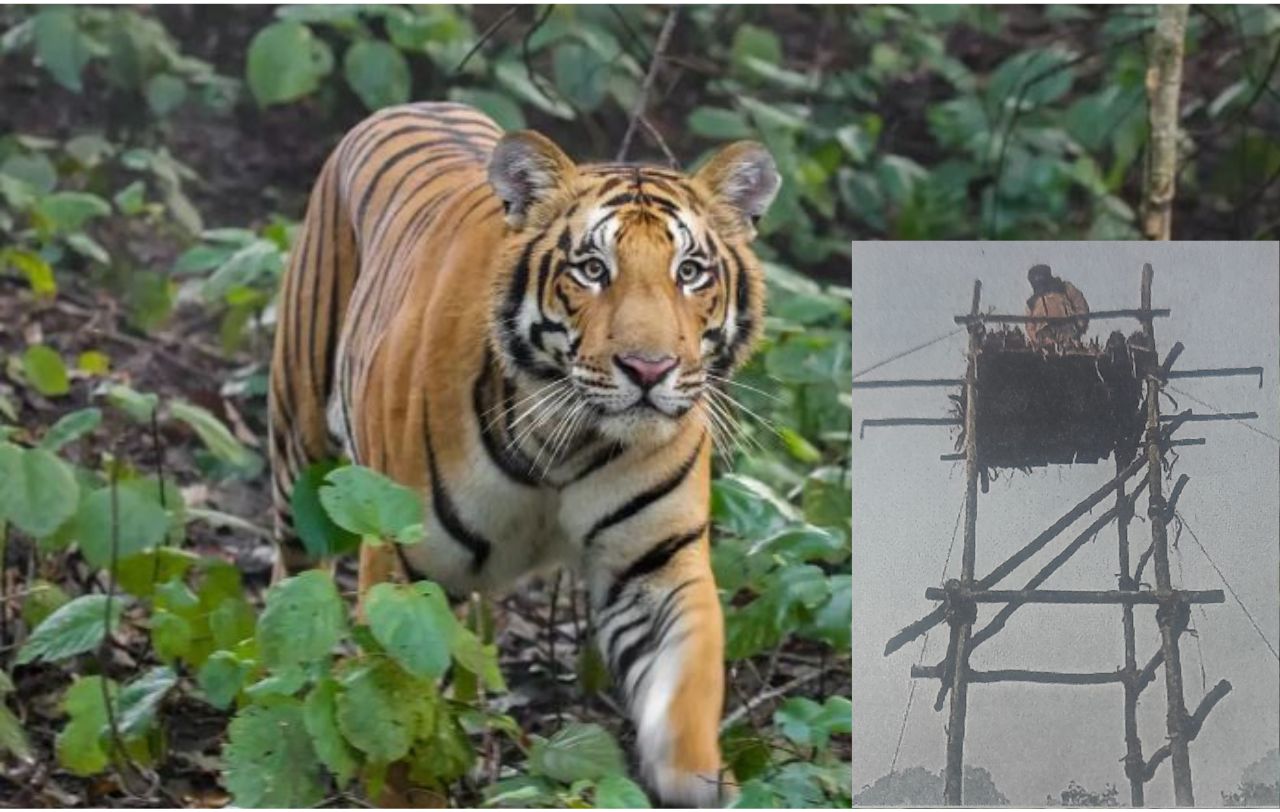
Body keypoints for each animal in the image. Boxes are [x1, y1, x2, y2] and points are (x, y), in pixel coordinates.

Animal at [267, 101, 779, 807]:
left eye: (690, 272)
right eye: (592, 269)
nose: (649, 370)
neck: (568, 440)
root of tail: (416, 104)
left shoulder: (654, 565)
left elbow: (687, 684)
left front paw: (697, 782)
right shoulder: (399, 557)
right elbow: (396, 705)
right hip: (299, 446)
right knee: (289, 576)